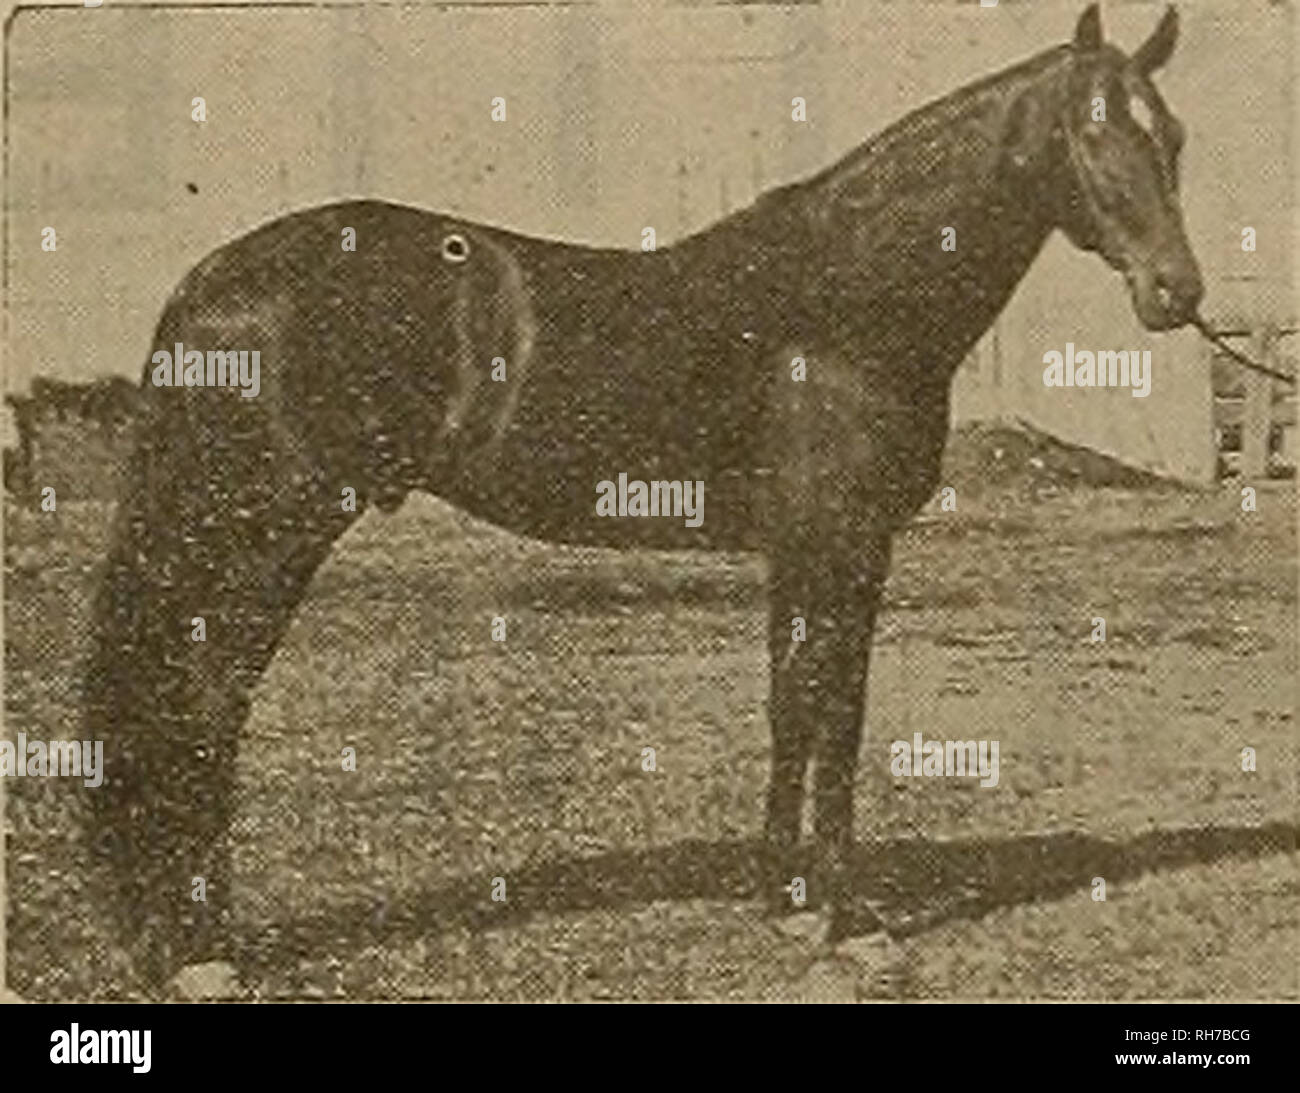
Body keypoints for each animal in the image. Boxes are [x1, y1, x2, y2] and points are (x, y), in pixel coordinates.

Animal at [82, 4, 1202, 991]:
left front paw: (786, 904)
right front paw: (850, 924)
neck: (840, 298)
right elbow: (838, 716)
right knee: (203, 703)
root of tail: (211, 278)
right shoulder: (848, 540)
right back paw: (200, 950)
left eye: (1176, 133)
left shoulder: (798, 546)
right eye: (1092, 129)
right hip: (268, 533)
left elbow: (790, 705)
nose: (1177, 291)